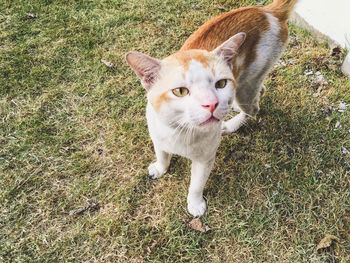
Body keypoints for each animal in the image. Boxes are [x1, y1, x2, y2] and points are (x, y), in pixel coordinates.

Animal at [125, 0, 298, 218]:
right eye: (180, 91)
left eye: (221, 84)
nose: (212, 104)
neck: (180, 131)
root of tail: (266, 11)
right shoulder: (158, 136)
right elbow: (162, 155)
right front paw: (160, 168)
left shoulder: (205, 159)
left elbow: (196, 184)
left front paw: (195, 203)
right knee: (262, 90)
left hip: (247, 85)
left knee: (253, 107)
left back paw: (231, 124)